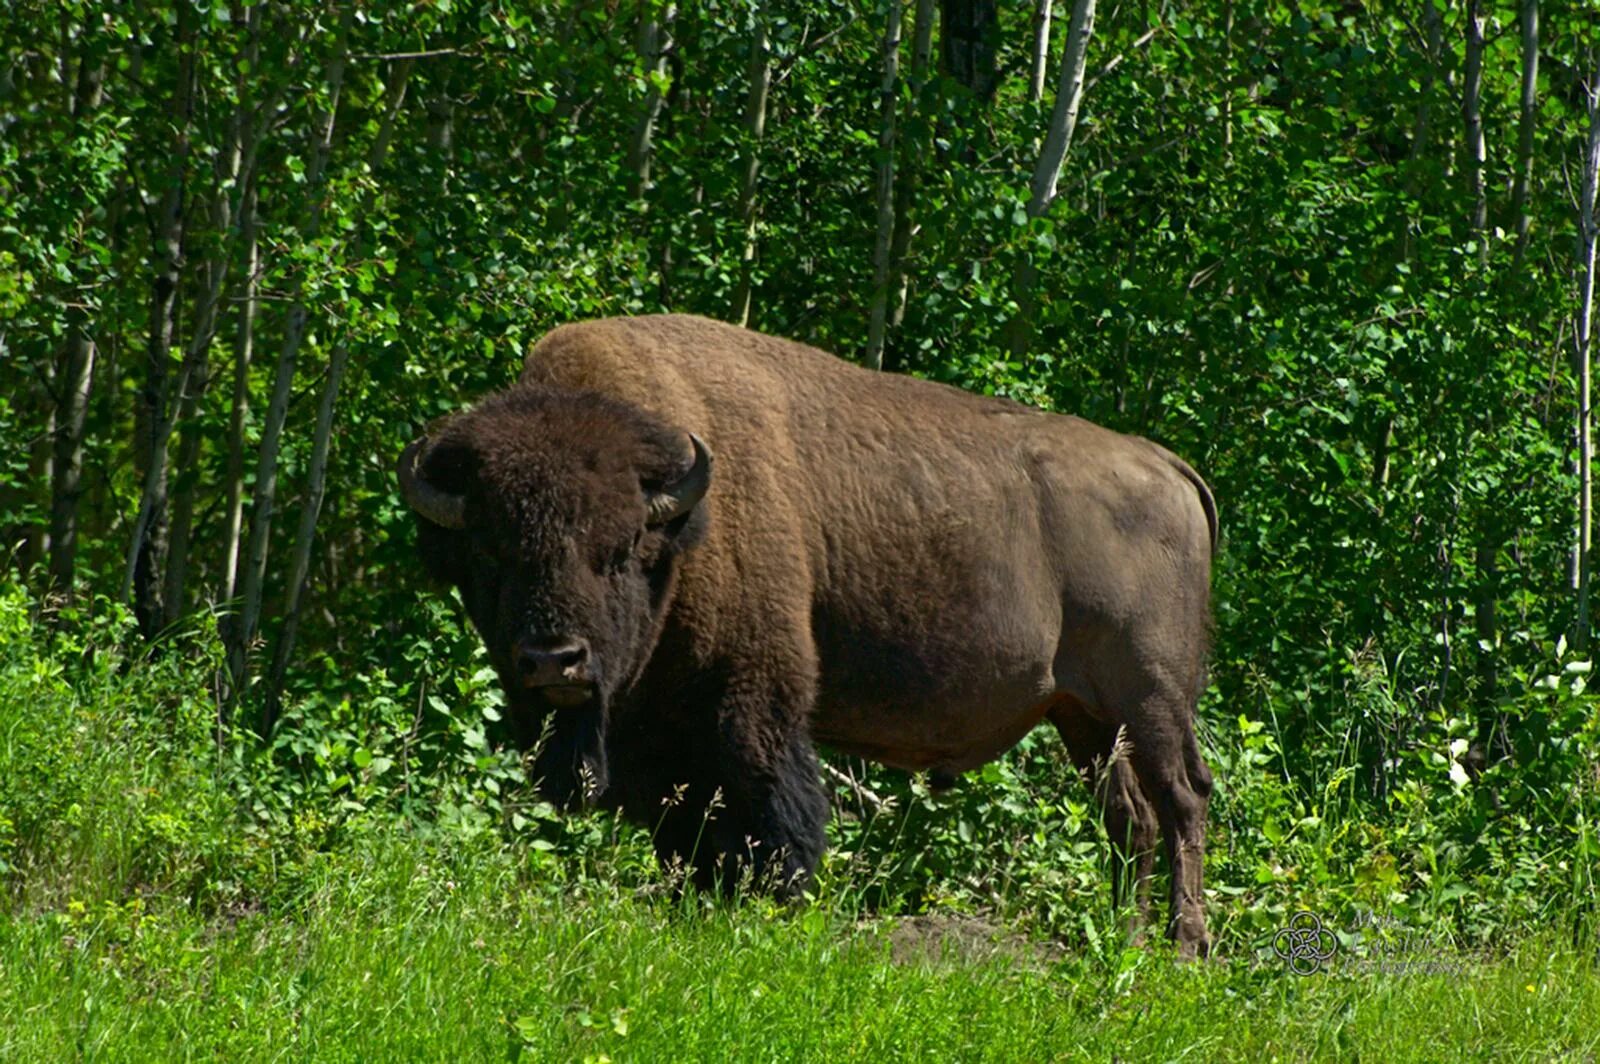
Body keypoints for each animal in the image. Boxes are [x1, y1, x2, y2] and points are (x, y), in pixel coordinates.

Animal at [396, 315, 1209, 953]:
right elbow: (683, 830)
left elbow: (770, 814)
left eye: (621, 549)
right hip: (1084, 716)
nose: (553, 660)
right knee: (1130, 818)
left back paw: (1184, 949)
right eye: (489, 553)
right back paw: (1122, 940)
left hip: (1151, 699)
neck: (684, 524)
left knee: (1181, 801)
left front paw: (771, 906)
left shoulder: (753, 698)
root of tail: (1167, 465)